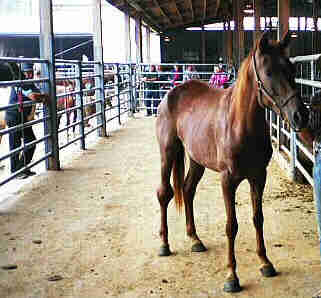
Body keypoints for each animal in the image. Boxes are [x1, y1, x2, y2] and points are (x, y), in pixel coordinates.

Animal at [154, 31, 308, 292]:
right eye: (269, 72)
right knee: (165, 193)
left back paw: (195, 239)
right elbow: (231, 226)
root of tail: (171, 94)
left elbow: (258, 218)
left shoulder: (258, 177)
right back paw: (164, 244)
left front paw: (265, 263)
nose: (300, 116)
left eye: (292, 69)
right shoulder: (228, 180)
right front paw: (231, 277)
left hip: (196, 160)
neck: (240, 123)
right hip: (168, 152)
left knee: (187, 190)